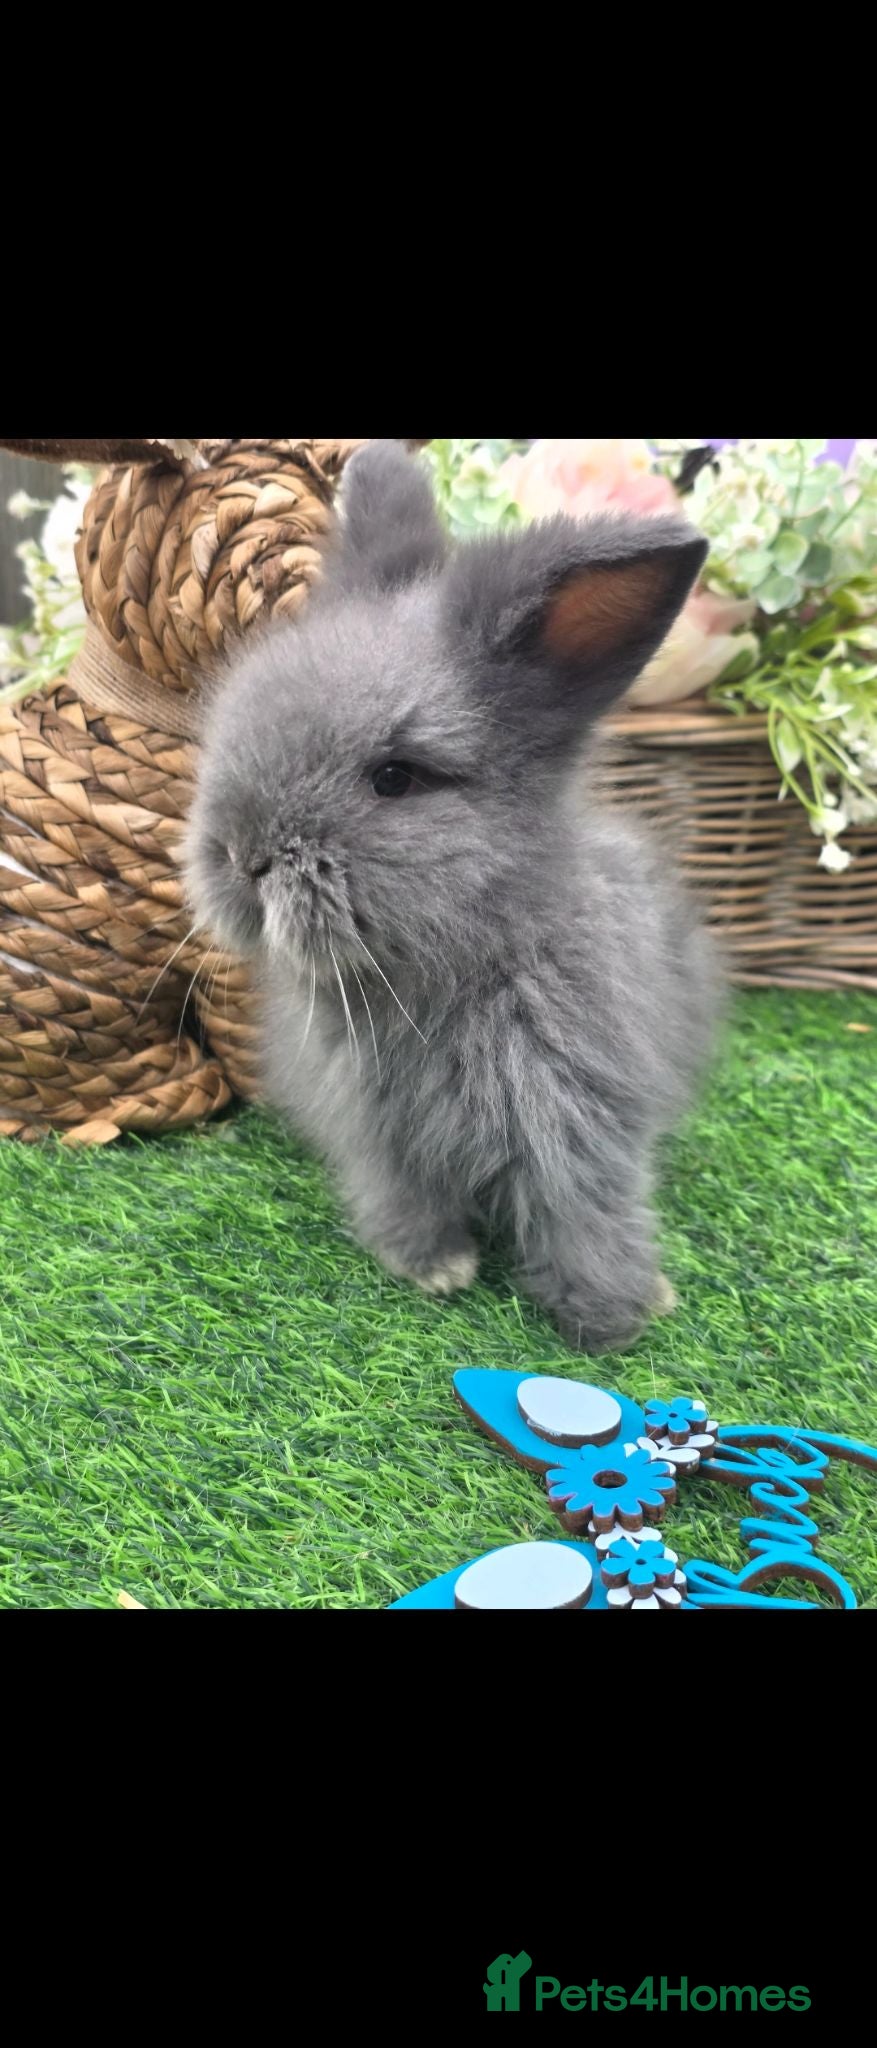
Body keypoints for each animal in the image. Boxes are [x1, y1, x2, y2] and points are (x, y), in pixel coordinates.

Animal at [185, 440, 720, 1353]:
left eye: (395, 778)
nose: (241, 856)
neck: (443, 964)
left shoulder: (583, 1122)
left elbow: (588, 1214)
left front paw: (616, 1318)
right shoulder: (378, 1139)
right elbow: (403, 1202)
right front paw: (434, 1271)